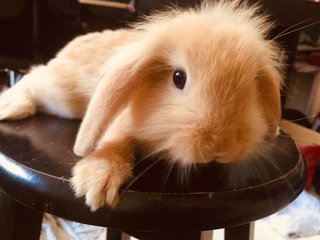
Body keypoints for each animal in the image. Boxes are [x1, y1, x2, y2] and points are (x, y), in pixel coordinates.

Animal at [0, 0, 282, 210]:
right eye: (178, 77)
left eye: (252, 83)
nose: (219, 146)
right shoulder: (119, 122)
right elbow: (114, 141)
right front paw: (97, 183)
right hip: (63, 94)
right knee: (33, 76)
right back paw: (10, 105)